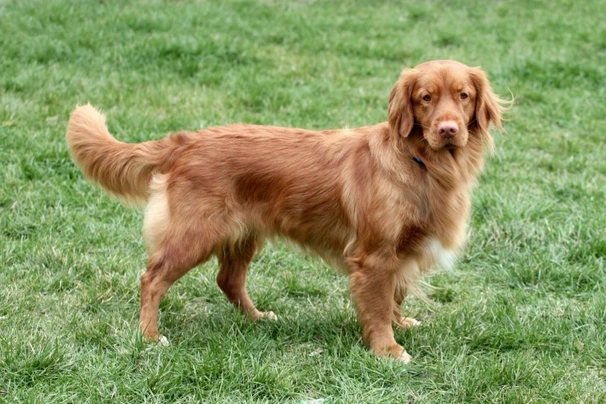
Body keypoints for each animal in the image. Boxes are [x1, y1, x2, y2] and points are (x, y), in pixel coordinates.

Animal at [66, 58, 508, 362]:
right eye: (425, 98)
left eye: (464, 96)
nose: (449, 129)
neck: (420, 163)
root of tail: (186, 141)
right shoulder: (375, 255)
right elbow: (379, 304)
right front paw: (388, 348)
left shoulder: (400, 253)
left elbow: (395, 295)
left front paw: (401, 324)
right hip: (194, 234)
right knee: (152, 279)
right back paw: (149, 336)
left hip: (243, 234)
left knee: (228, 280)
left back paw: (258, 318)